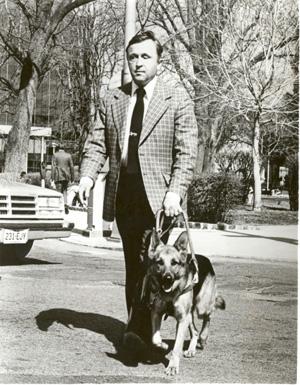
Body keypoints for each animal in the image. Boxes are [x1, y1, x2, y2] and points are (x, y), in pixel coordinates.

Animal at [145, 230, 225, 374]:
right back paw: (191, 349)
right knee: (195, 331)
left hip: (200, 307)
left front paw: (172, 366)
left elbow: (177, 347)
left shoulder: (182, 320)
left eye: (174, 263)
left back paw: (203, 337)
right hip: (189, 315)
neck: (170, 294)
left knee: (209, 315)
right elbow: (155, 338)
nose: (168, 278)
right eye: (159, 262)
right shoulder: (156, 313)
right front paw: (163, 345)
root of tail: (205, 259)